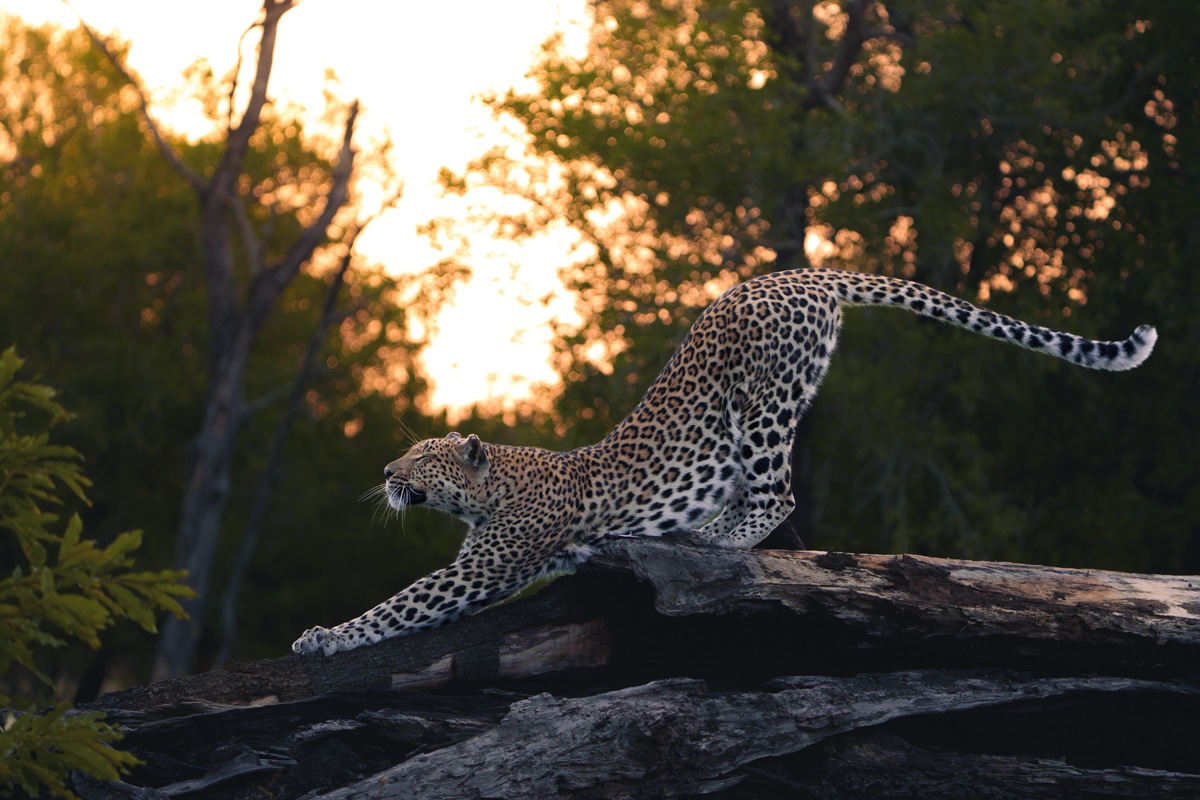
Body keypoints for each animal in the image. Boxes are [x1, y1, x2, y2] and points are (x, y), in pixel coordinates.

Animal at [293, 267, 1156, 655]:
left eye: (422, 458)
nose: (386, 475)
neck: (492, 487)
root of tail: (805, 272)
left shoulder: (485, 567)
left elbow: (403, 603)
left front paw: (324, 637)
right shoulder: (489, 568)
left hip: (762, 401)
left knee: (775, 496)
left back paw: (708, 539)